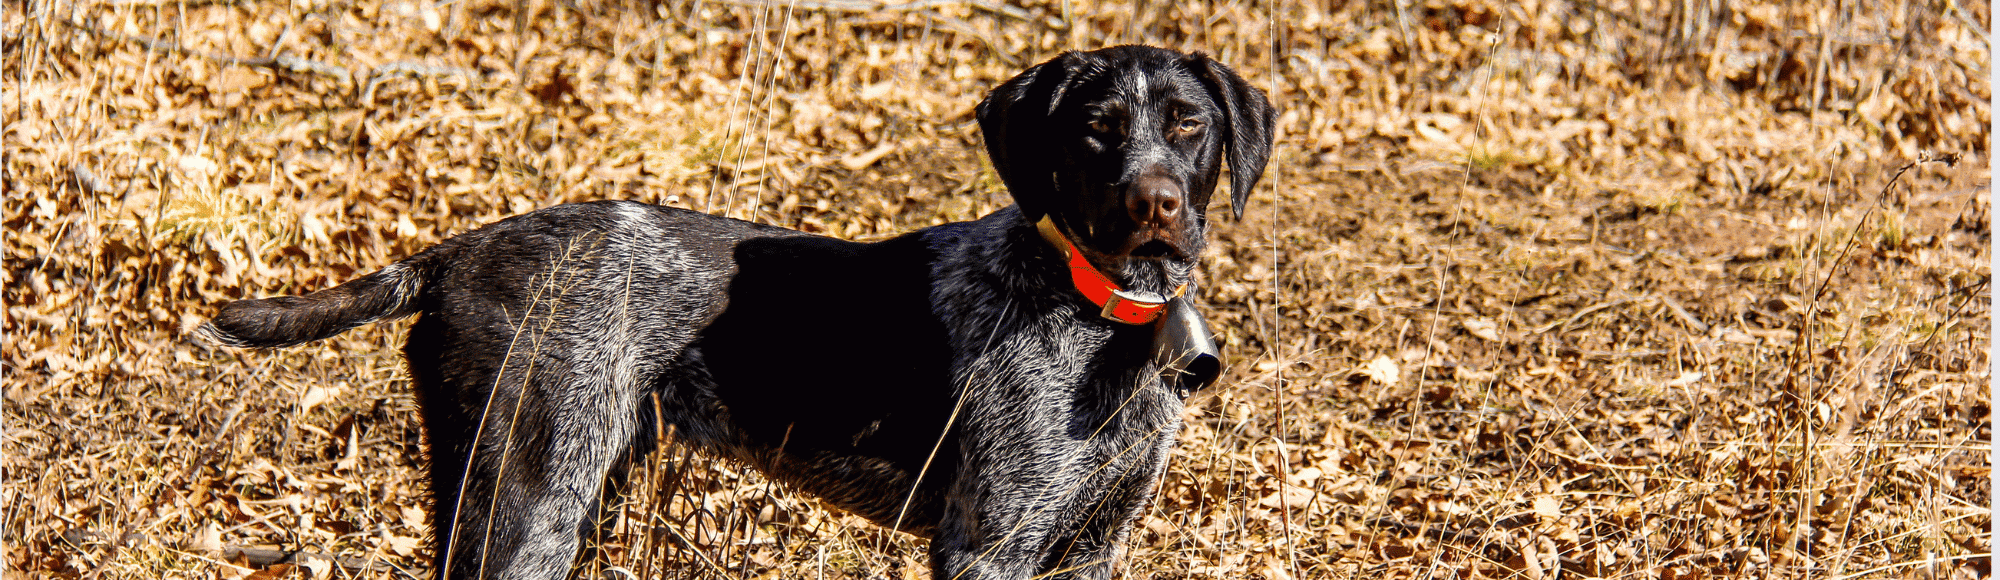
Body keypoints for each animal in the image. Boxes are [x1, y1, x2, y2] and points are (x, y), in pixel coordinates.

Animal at [199, 46, 1264, 580]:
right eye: (1092, 132)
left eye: (1188, 124)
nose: (1154, 205)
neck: (1105, 320)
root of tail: (459, 250)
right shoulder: (987, 544)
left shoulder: (1092, 545)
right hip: (530, 499)